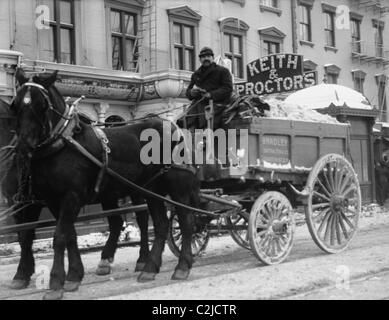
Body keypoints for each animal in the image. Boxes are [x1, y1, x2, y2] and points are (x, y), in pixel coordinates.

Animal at [9, 68, 200, 300]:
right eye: (15, 105)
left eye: (42, 105)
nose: (23, 146)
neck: (62, 143)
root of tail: (173, 127)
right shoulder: (53, 200)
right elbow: (69, 235)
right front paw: (74, 276)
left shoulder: (70, 196)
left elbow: (59, 236)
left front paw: (56, 283)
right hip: (151, 189)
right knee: (161, 224)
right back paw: (150, 268)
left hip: (177, 186)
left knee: (186, 221)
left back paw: (182, 266)